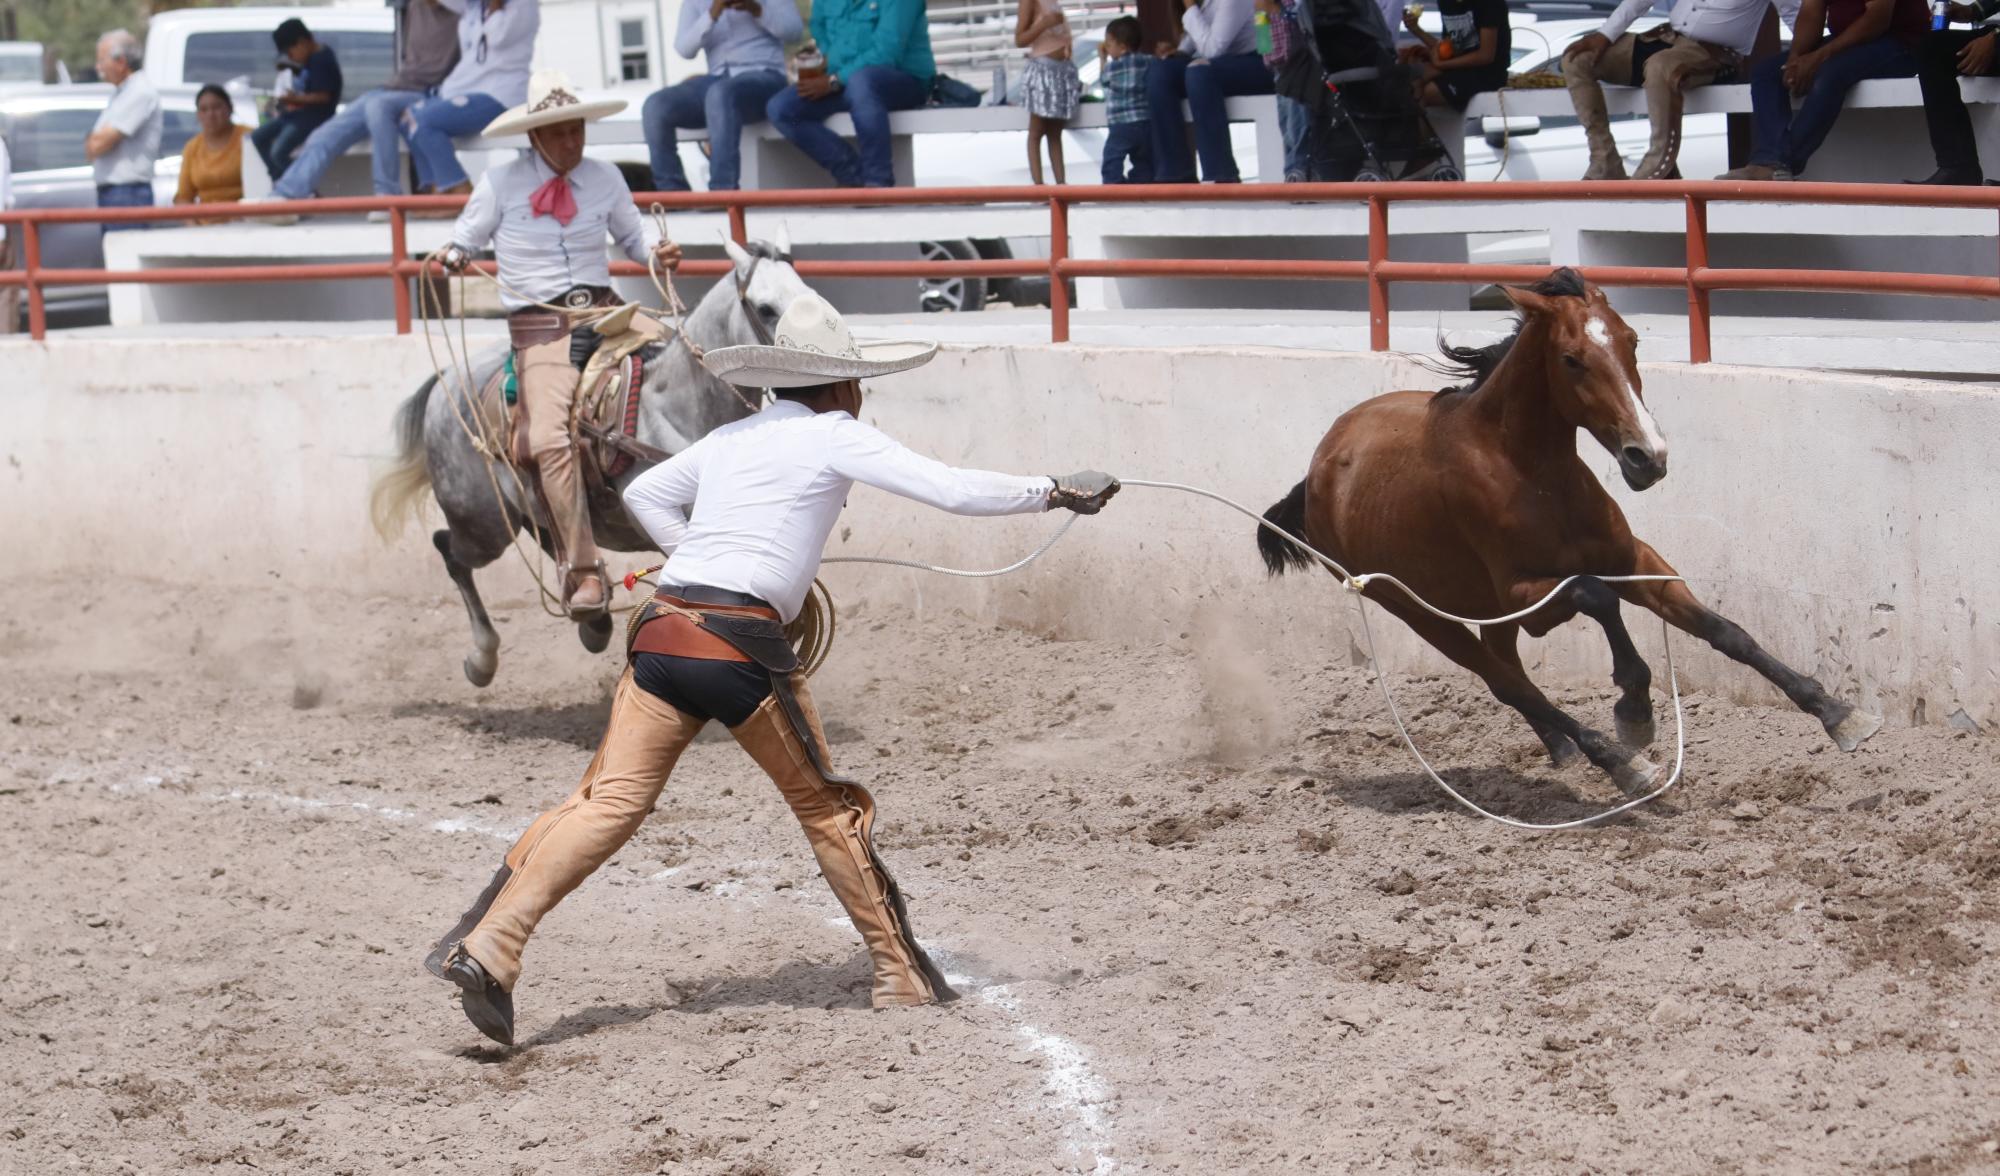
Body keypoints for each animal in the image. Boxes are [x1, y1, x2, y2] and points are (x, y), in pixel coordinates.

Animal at [372, 233, 808, 684]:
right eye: (765, 307)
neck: (677, 409)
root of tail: (447, 381)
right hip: (483, 526)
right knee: (451, 552)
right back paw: (483, 658)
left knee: (559, 542)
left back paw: (592, 614)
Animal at [1256, 268, 1880, 792]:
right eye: (1572, 359)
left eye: (1632, 340)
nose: (1647, 457)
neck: (1533, 476)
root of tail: (1318, 471)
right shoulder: (1529, 597)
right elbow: (1594, 595)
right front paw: (1635, 711)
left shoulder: (1634, 561)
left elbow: (1726, 632)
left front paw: (1838, 713)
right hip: (1419, 612)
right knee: (1505, 681)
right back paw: (1617, 761)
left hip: (1485, 612)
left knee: (1508, 672)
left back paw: (1563, 748)